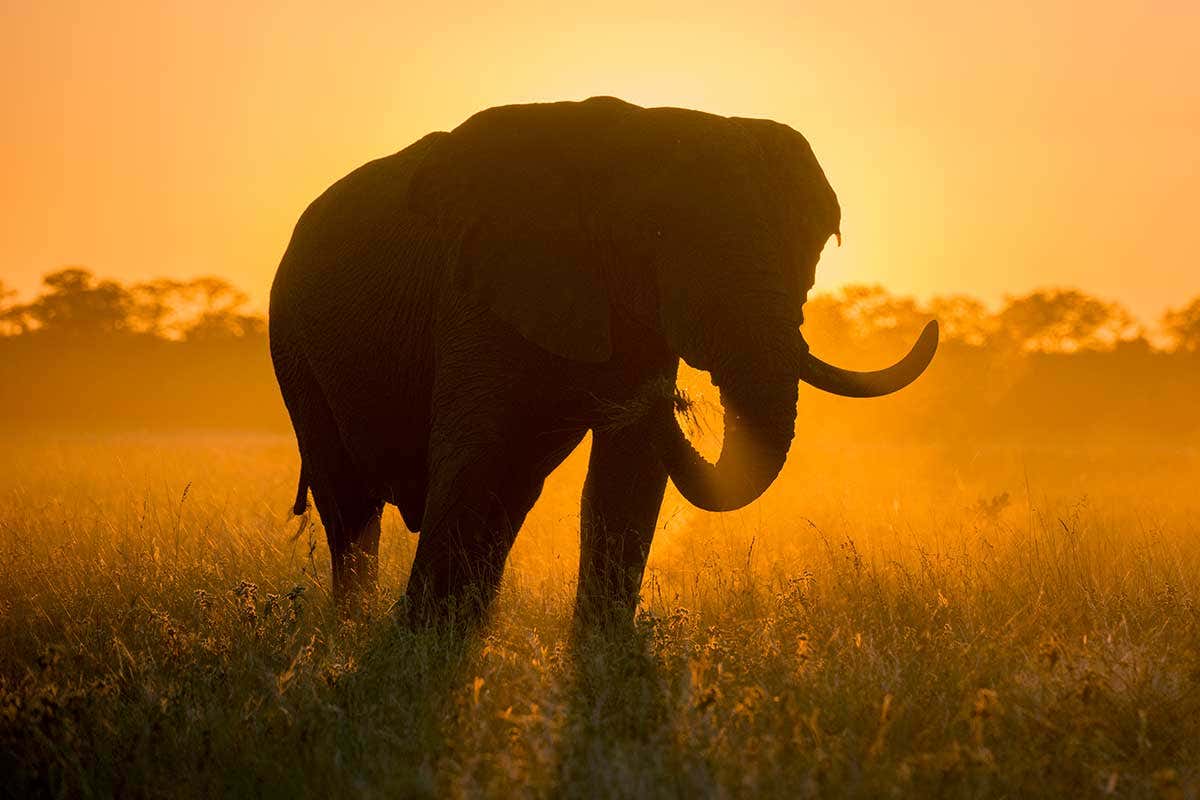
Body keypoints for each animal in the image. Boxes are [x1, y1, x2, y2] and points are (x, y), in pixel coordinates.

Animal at [269, 96, 937, 624]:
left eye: (821, 242)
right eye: (657, 239)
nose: (667, 397)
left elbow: (629, 475)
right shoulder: (477, 289)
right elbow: (478, 452)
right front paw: (419, 641)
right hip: (294, 346)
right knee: (351, 501)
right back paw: (358, 627)